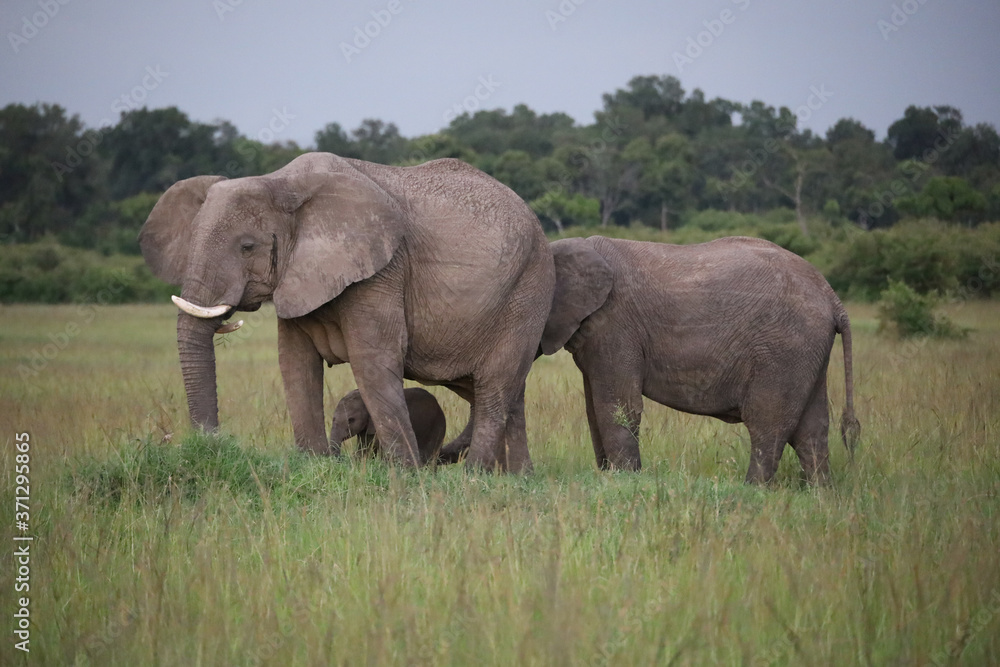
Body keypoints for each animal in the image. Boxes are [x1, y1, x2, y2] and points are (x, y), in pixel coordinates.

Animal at [139, 153, 556, 474]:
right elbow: (294, 363)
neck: (281, 183)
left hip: (528, 290)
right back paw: (517, 477)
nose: (212, 446)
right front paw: (312, 466)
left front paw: (404, 477)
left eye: (247, 246)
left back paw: (474, 477)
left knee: (495, 387)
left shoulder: (382, 270)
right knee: (509, 393)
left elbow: (372, 360)